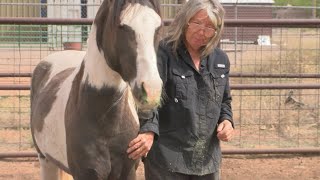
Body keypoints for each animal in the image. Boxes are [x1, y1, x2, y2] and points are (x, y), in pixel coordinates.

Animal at [30, 0, 162, 179]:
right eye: (121, 26)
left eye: (158, 27)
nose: (152, 90)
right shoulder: (86, 173)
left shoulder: (128, 172)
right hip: (45, 159)